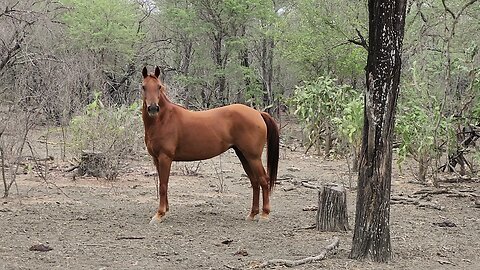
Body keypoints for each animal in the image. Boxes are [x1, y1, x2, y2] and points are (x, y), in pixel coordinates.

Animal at [141, 66, 280, 224]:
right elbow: (162, 184)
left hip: (253, 157)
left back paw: (264, 214)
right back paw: (252, 214)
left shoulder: (165, 157)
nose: (153, 108)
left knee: (263, 180)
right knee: (255, 182)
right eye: (144, 87)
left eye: (159, 86)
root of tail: (258, 113)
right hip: (244, 156)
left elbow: (163, 185)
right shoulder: (156, 159)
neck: (163, 120)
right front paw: (165, 210)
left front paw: (159, 214)